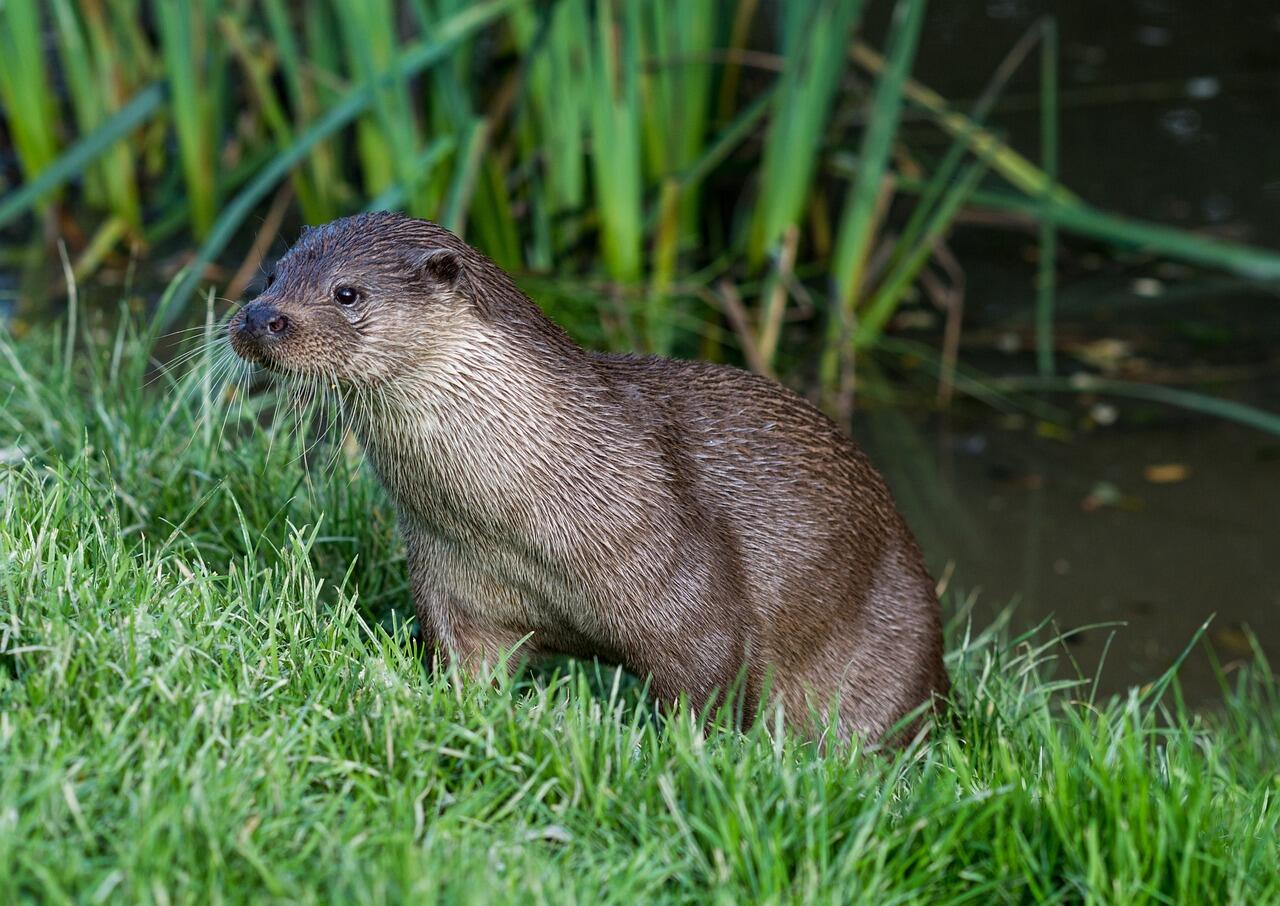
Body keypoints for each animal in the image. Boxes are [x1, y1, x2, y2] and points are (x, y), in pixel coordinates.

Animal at [229, 212, 947, 742]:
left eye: (346, 292)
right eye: (271, 274)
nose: (260, 317)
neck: (513, 517)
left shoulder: (684, 579)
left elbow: (711, 685)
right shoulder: (453, 582)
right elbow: (463, 663)